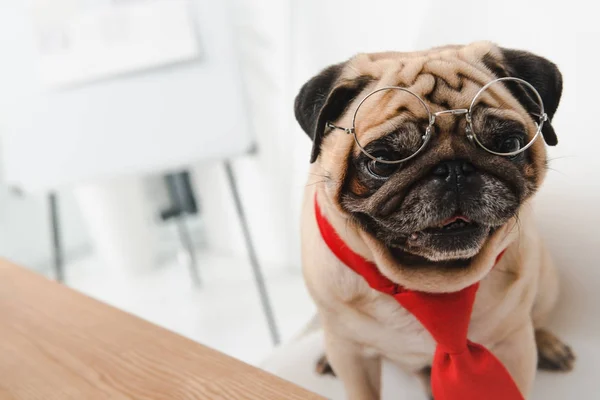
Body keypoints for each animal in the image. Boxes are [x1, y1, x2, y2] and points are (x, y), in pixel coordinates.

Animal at [296, 41, 576, 400]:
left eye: (508, 144)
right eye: (382, 161)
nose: (453, 169)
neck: (429, 282)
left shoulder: (513, 345)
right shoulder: (351, 356)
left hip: (547, 285)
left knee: (537, 317)